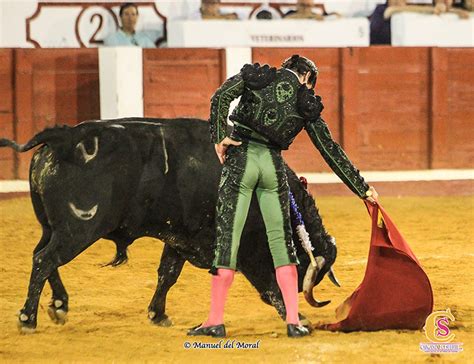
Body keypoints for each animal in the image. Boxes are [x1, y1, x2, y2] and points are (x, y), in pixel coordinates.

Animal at [1, 118, 338, 332]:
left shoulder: (180, 237)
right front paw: (297, 318)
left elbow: (168, 274)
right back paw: (28, 318)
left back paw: (58, 306)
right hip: (80, 228)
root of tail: (65, 137)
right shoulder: (246, 247)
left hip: (52, 227)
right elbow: (269, 286)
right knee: (45, 260)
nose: (299, 290)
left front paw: (157, 314)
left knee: (42, 257)